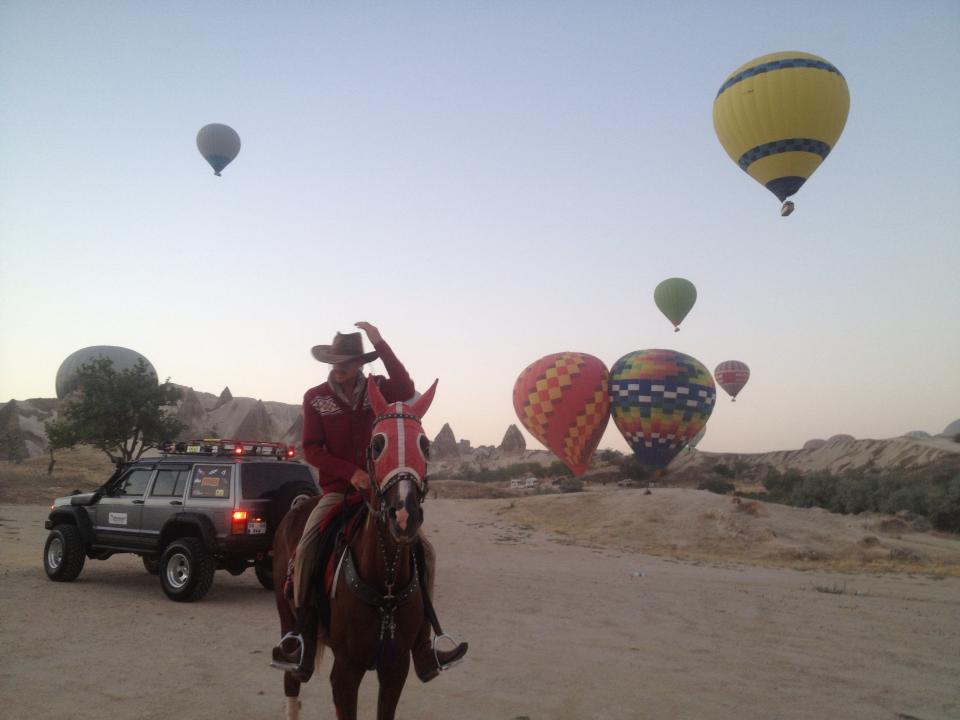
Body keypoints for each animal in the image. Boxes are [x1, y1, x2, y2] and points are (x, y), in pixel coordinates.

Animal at [272, 376, 448, 720]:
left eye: (425, 445)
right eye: (378, 444)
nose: (403, 516)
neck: (385, 581)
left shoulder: (396, 668)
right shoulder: (345, 673)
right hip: (287, 620)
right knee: (291, 681)